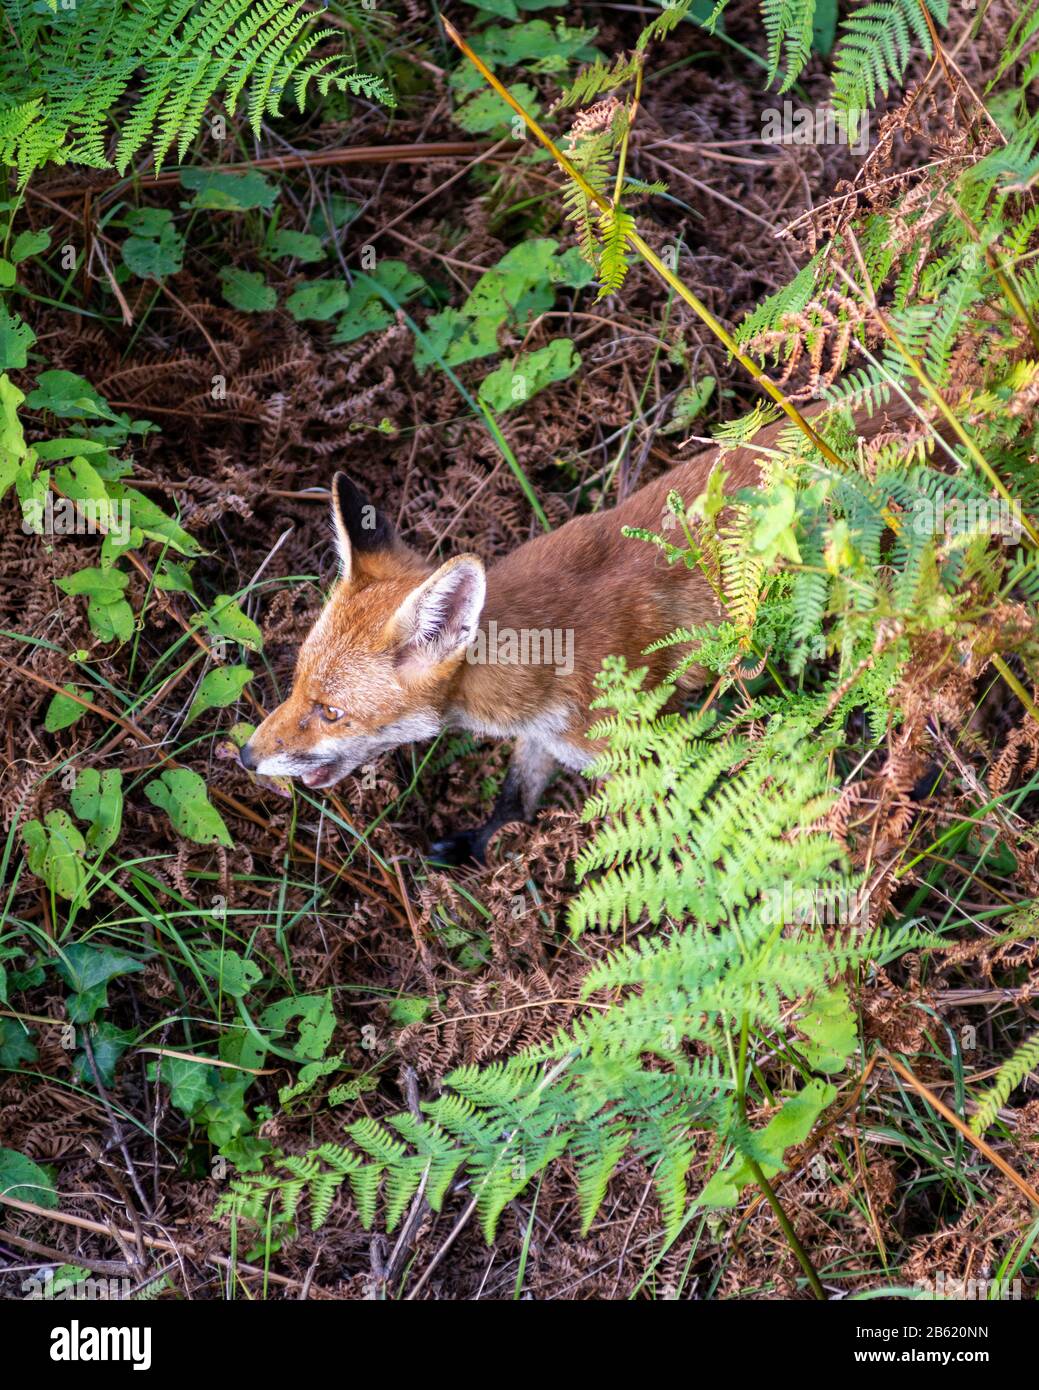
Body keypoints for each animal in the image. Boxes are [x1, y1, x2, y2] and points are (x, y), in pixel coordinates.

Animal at [239, 399, 914, 862]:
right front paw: (482, 842)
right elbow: (515, 796)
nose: (245, 756)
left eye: (330, 713)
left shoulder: (645, 753)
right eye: (295, 685)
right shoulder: (544, 736)